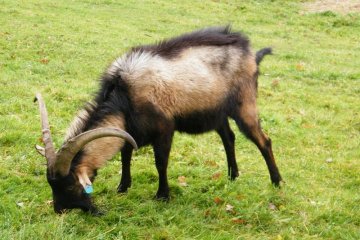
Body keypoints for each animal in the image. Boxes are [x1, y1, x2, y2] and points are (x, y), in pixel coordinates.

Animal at [34, 25, 282, 214]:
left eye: (69, 187)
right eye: (51, 185)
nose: (59, 210)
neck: (124, 95)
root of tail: (251, 52)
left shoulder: (164, 129)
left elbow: (160, 162)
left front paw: (163, 195)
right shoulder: (130, 130)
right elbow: (125, 156)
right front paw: (123, 187)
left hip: (245, 105)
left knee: (264, 141)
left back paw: (277, 182)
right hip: (216, 113)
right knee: (229, 138)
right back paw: (232, 176)